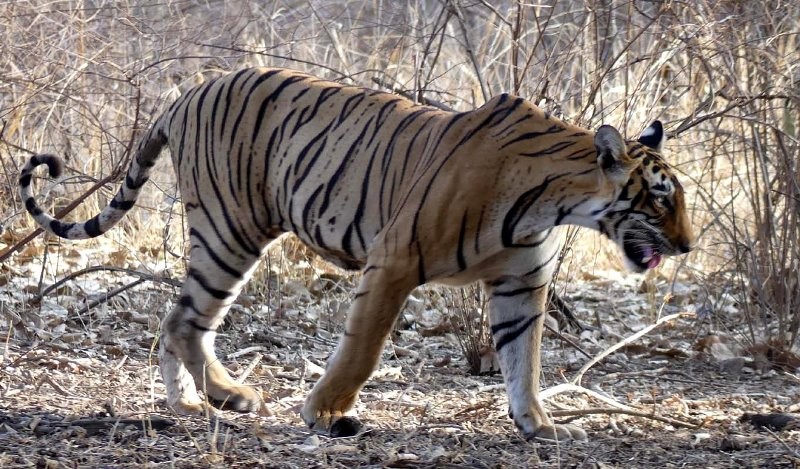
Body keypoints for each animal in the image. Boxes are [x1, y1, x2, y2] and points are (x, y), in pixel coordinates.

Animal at [19, 67, 694, 441]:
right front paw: (324, 412)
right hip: (229, 229)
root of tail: (187, 94)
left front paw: (537, 425)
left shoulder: (521, 286)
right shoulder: (395, 259)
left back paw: (188, 402)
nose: (687, 246)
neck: (556, 202)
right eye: (660, 199)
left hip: (228, 235)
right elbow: (363, 350)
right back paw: (231, 396)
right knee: (186, 318)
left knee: (173, 318)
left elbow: (522, 359)